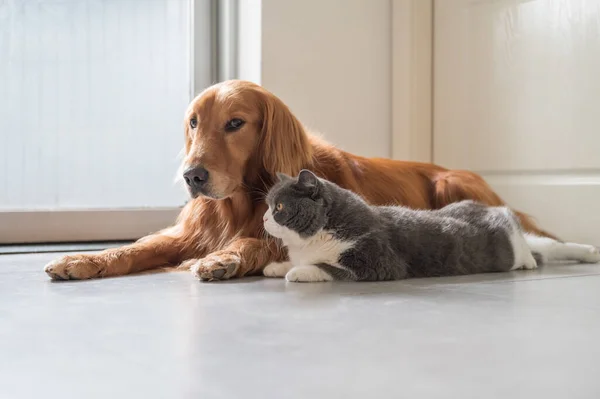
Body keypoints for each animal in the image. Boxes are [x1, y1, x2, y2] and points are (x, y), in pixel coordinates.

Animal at [262, 170, 600, 282]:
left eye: (279, 208)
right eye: (267, 205)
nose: (264, 218)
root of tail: (495, 210)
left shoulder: (378, 261)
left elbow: (328, 267)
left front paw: (298, 272)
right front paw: (276, 266)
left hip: (514, 246)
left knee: (543, 247)